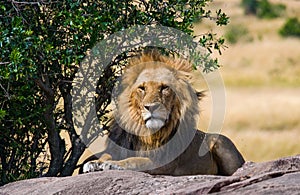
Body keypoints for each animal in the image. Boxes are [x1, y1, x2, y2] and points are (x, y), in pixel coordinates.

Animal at [81, 51, 244, 176]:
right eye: (142, 88)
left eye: (164, 88)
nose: (151, 107)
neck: (147, 134)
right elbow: (106, 154)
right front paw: (94, 163)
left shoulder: (163, 163)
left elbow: (136, 161)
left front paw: (112, 164)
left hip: (220, 142)